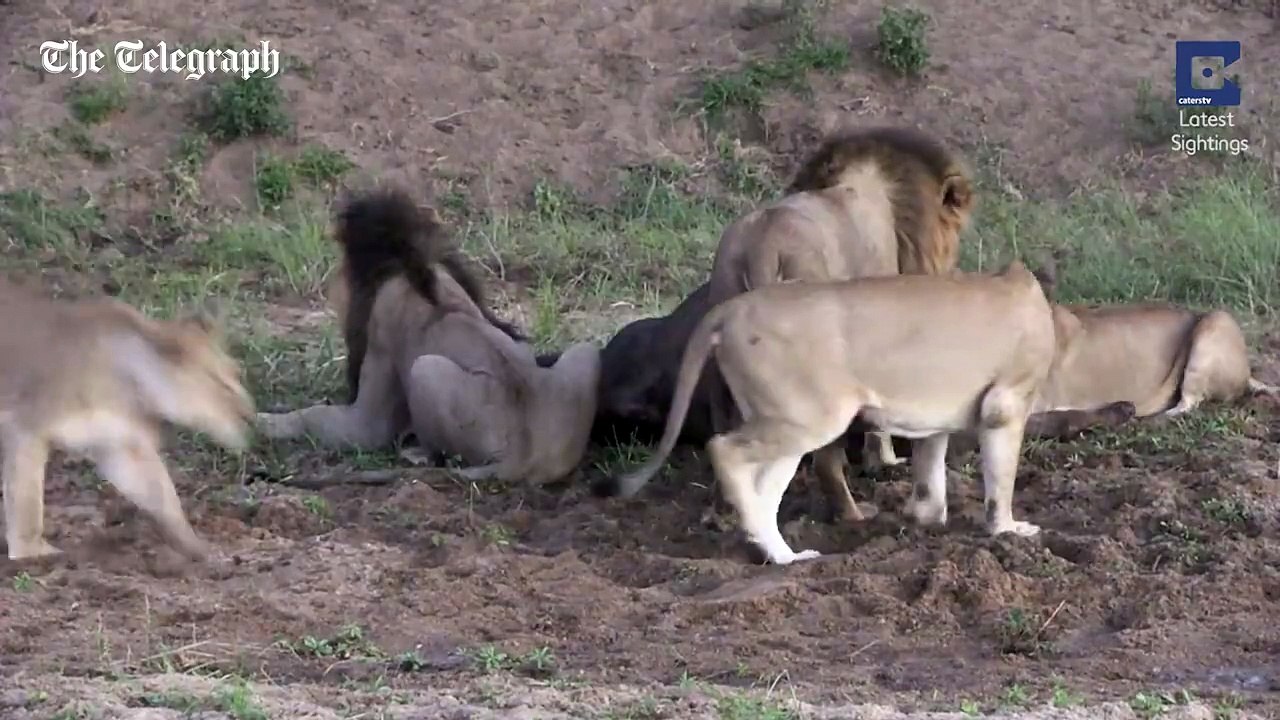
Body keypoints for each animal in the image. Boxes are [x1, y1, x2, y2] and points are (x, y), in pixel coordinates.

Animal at [0, 277, 255, 561]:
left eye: (237, 373)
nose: (251, 415)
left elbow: (162, 494)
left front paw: (199, 549)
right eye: (221, 383)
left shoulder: (119, 443)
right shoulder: (26, 426)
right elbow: (27, 498)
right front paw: (32, 552)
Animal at [255, 188, 601, 485]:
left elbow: (334, 421)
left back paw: (417, 453)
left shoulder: (379, 346)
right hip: (585, 353)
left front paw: (263, 422)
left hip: (426, 370)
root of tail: (527, 458)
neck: (409, 267)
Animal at [604, 260, 1057, 565]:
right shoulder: (1005, 405)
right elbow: (1000, 481)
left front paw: (927, 517)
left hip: (790, 421)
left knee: (764, 486)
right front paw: (1009, 531)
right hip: (811, 416)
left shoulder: (935, 423)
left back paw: (781, 554)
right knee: (724, 450)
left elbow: (930, 475)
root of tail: (730, 309)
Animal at [697, 124, 977, 523]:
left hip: (720, 364)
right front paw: (884, 461)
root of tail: (764, 243)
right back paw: (854, 515)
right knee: (825, 463)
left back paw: (722, 516)